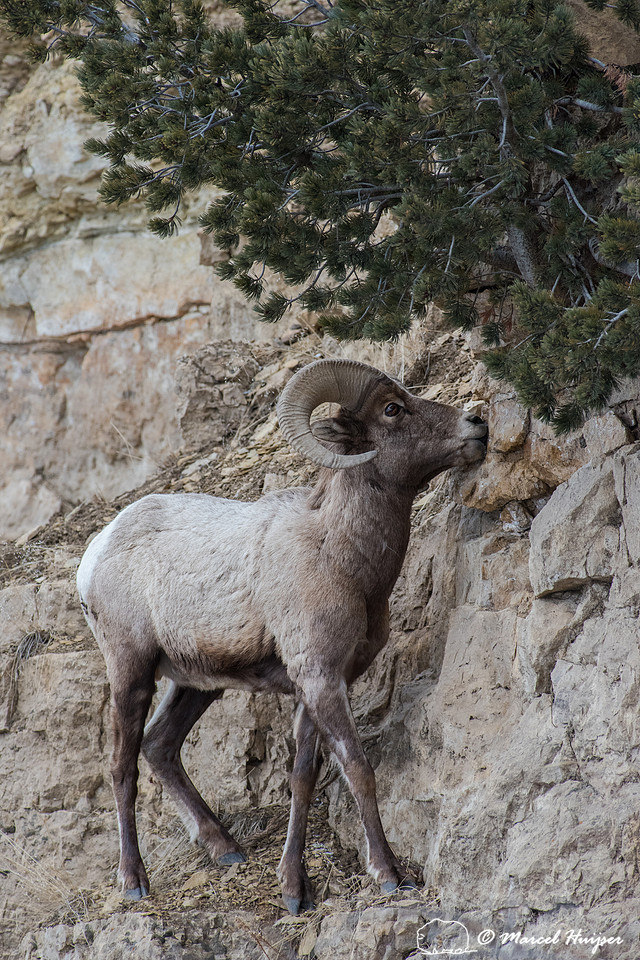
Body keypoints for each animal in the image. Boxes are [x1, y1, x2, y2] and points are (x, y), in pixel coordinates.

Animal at [76, 357, 488, 914]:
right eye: (392, 409)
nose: (477, 425)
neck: (340, 556)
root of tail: (97, 553)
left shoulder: (317, 685)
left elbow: (302, 777)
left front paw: (295, 889)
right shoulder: (320, 678)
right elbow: (357, 767)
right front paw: (388, 875)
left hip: (196, 684)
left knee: (160, 746)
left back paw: (227, 849)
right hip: (131, 672)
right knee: (123, 767)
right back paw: (134, 881)